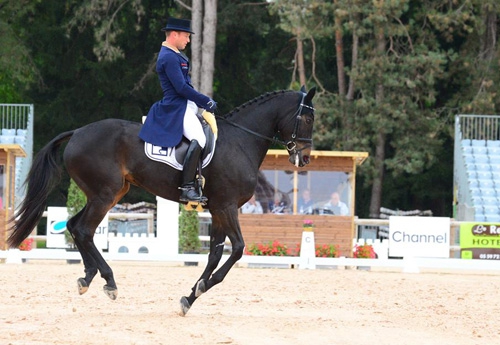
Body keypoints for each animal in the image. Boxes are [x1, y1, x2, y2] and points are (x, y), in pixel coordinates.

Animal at [6, 85, 316, 314]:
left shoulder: (217, 209)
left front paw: (191, 296)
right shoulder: (226, 207)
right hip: (105, 194)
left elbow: (215, 254)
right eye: (308, 119)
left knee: (74, 226)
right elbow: (238, 249)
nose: (304, 158)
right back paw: (109, 281)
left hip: (106, 194)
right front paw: (202, 287)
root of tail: (78, 132)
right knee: (83, 229)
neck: (241, 142)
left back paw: (88, 276)